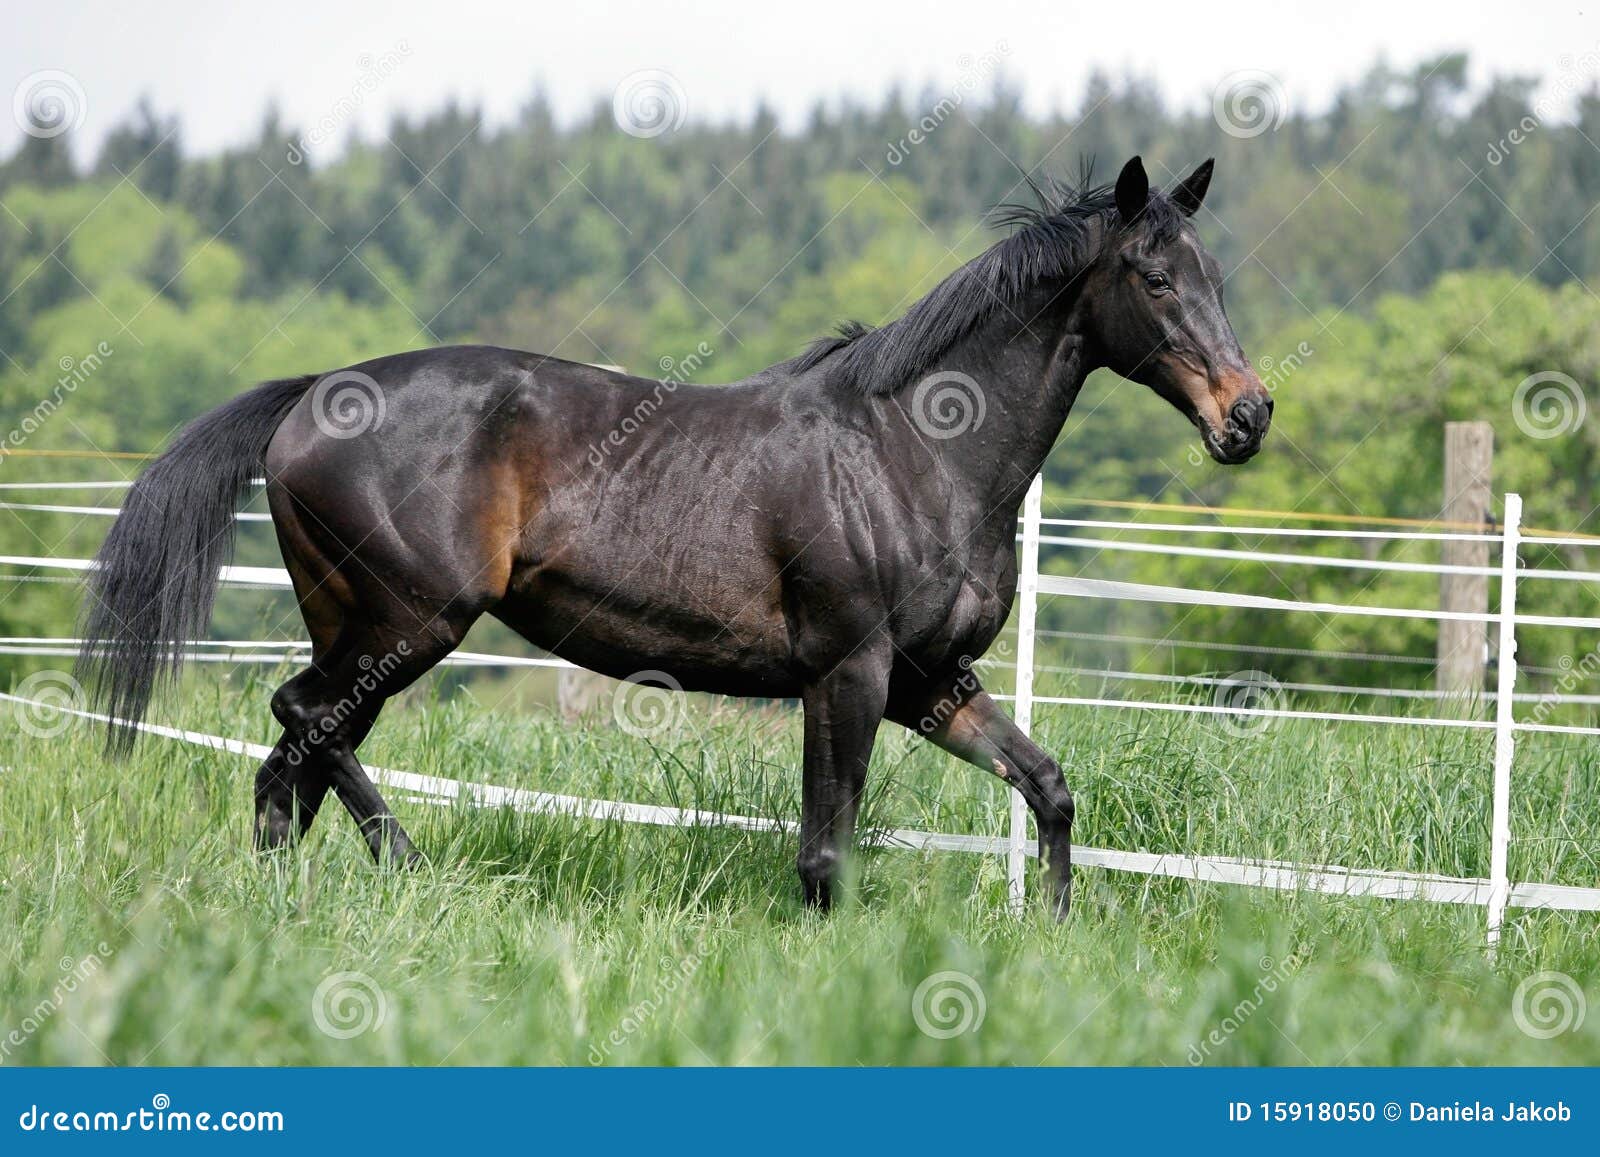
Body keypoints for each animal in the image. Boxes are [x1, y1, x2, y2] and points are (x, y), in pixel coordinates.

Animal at [78, 156, 1273, 915]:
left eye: (1217, 278)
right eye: (1154, 278)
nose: (1248, 415)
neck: (913, 448)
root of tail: (309, 397)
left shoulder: (933, 681)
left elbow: (1048, 787)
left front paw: (1054, 932)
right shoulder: (848, 670)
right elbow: (826, 852)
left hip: (361, 627)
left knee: (294, 757)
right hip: (409, 622)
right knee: (303, 725)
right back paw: (407, 867)